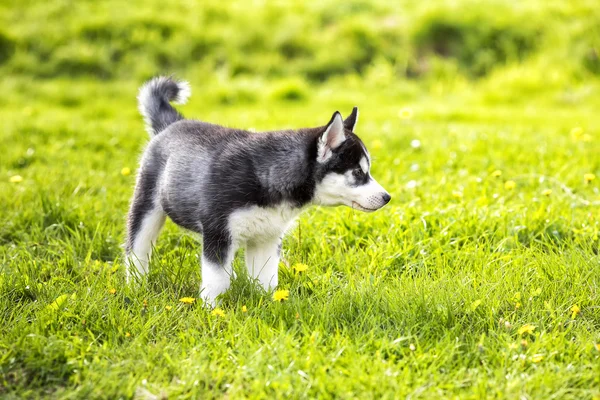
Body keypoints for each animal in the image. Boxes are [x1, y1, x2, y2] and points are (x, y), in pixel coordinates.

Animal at [124, 76, 392, 306]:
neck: (270, 176)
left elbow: (267, 280)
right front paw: (213, 313)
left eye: (367, 171)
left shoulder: (266, 239)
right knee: (135, 250)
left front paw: (270, 306)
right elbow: (217, 282)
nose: (387, 197)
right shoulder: (218, 235)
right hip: (147, 207)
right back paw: (135, 287)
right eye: (358, 173)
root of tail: (174, 124)